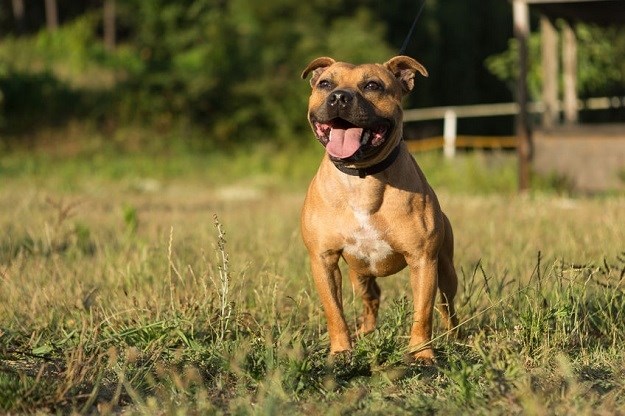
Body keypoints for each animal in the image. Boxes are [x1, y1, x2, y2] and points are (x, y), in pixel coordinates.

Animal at [300, 56, 456, 364]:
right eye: (325, 83)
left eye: (373, 86)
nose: (339, 97)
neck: (362, 178)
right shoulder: (323, 260)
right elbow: (334, 312)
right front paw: (341, 351)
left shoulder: (423, 261)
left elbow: (423, 314)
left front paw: (422, 354)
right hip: (358, 273)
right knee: (371, 298)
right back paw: (366, 332)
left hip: (446, 269)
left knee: (447, 305)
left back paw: (455, 337)